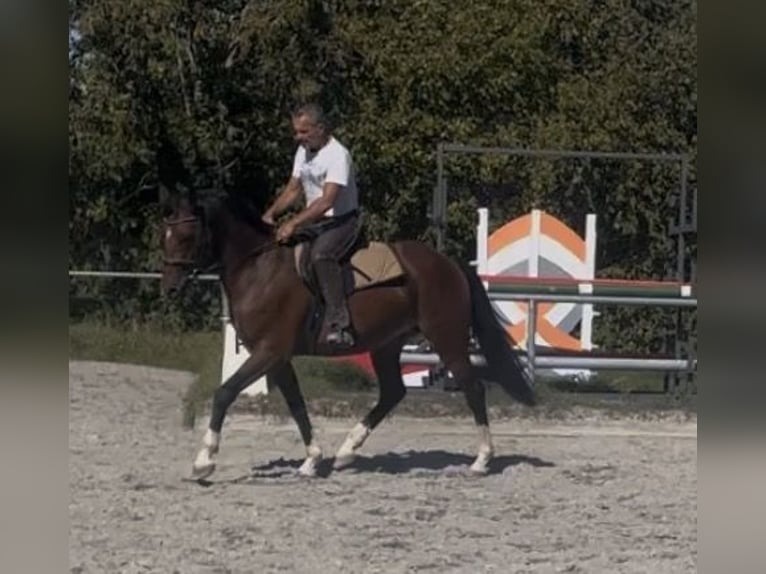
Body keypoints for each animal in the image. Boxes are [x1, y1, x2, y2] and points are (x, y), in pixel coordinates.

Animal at [161, 192, 535, 479]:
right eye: (165, 236)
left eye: (185, 236)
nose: (169, 286)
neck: (258, 269)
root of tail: (449, 263)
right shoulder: (277, 358)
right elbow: (296, 404)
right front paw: (312, 460)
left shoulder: (269, 352)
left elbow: (225, 392)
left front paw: (204, 461)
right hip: (387, 344)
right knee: (393, 392)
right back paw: (346, 450)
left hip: (447, 339)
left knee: (473, 387)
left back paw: (482, 460)